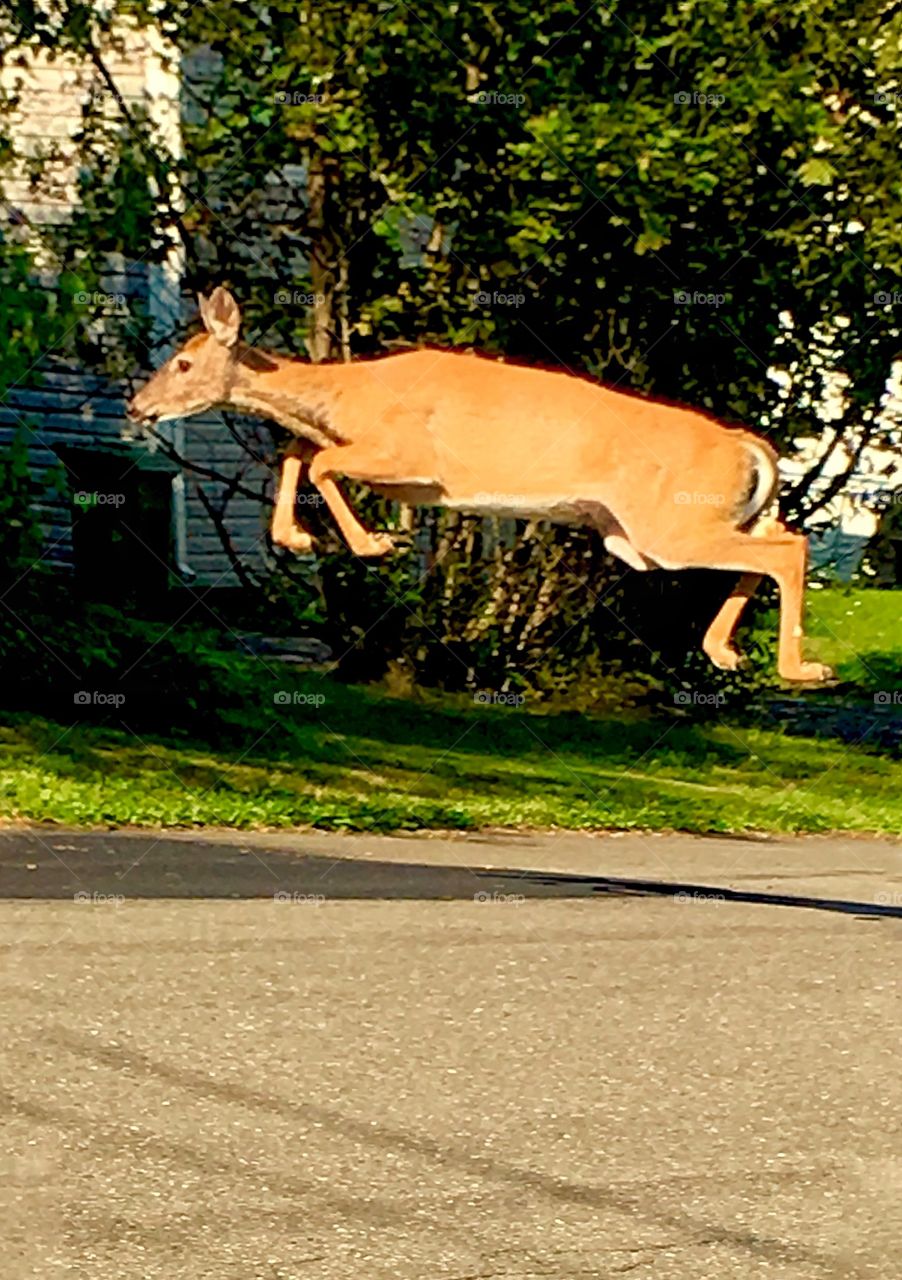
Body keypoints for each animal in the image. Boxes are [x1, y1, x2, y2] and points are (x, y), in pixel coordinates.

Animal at [126, 286, 832, 683]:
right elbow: (301, 451)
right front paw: (296, 538)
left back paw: (800, 669)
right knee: (774, 539)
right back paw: (726, 653)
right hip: (662, 532)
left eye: (182, 362)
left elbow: (321, 461)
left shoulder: (412, 459)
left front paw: (373, 545)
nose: (136, 407)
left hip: (671, 522)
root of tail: (747, 445)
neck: (346, 394)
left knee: (788, 549)